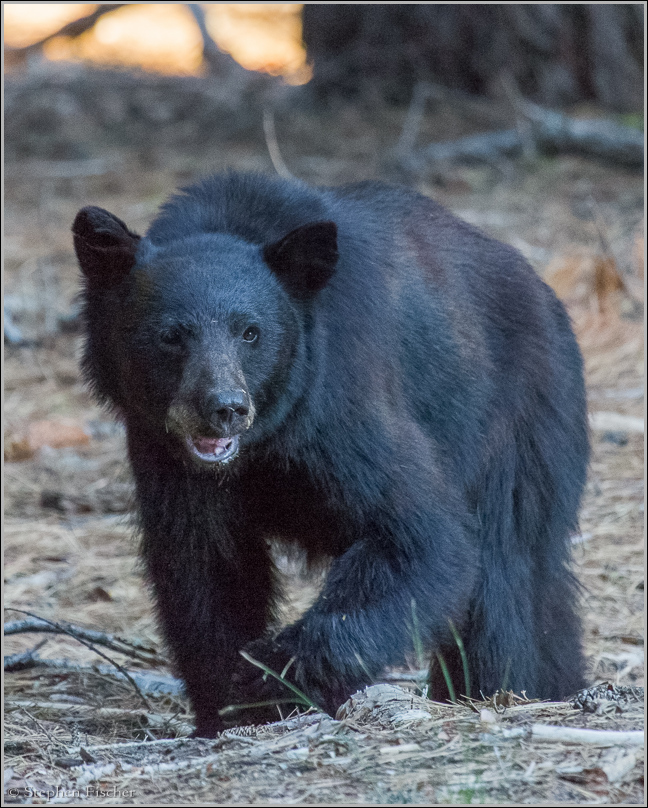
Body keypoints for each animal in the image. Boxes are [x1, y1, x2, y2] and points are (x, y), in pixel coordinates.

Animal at [73, 174, 588, 736]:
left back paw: (501, 690)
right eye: (170, 335)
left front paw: (273, 676)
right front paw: (227, 708)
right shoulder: (163, 455)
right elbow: (203, 567)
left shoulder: (340, 406)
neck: (263, 445)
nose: (224, 409)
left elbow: (421, 537)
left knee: (504, 573)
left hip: (515, 420)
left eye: (250, 332)